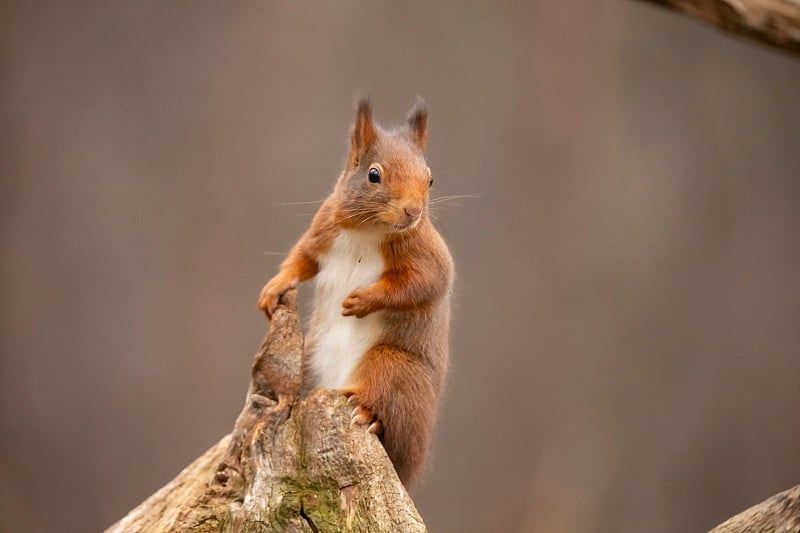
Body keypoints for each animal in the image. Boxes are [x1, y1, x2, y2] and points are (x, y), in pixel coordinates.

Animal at [258, 96, 454, 486]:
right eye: (373, 175)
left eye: (430, 179)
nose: (413, 211)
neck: (369, 229)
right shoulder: (323, 229)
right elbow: (301, 259)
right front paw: (274, 287)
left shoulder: (426, 254)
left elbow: (423, 283)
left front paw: (363, 300)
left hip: (392, 366)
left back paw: (368, 415)